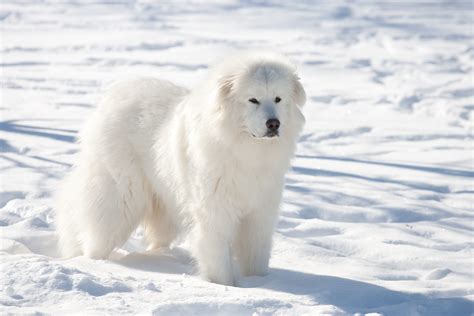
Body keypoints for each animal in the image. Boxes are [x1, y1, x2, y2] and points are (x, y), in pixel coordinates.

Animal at [56, 52, 308, 286]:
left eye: (278, 98)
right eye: (253, 100)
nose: (273, 124)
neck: (245, 150)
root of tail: (111, 98)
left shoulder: (259, 213)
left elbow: (256, 254)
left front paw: (259, 282)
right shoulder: (214, 211)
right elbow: (217, 255)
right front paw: (224, 286)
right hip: (121, 198)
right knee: (97, 235)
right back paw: (93, 264)